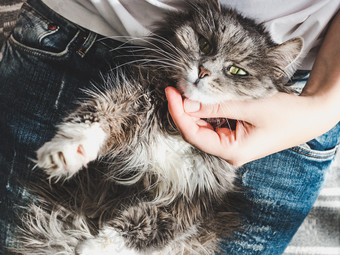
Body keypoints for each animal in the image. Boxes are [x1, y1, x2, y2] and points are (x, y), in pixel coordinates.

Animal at [12, 0, 302, 254]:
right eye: (204, 43)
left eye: (237, 71)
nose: (203, 71)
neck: (174, 128)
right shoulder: (129, 101)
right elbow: (95, 119)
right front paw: (66, 152)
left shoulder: (192, 202)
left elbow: (144, 229)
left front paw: (90, 247)